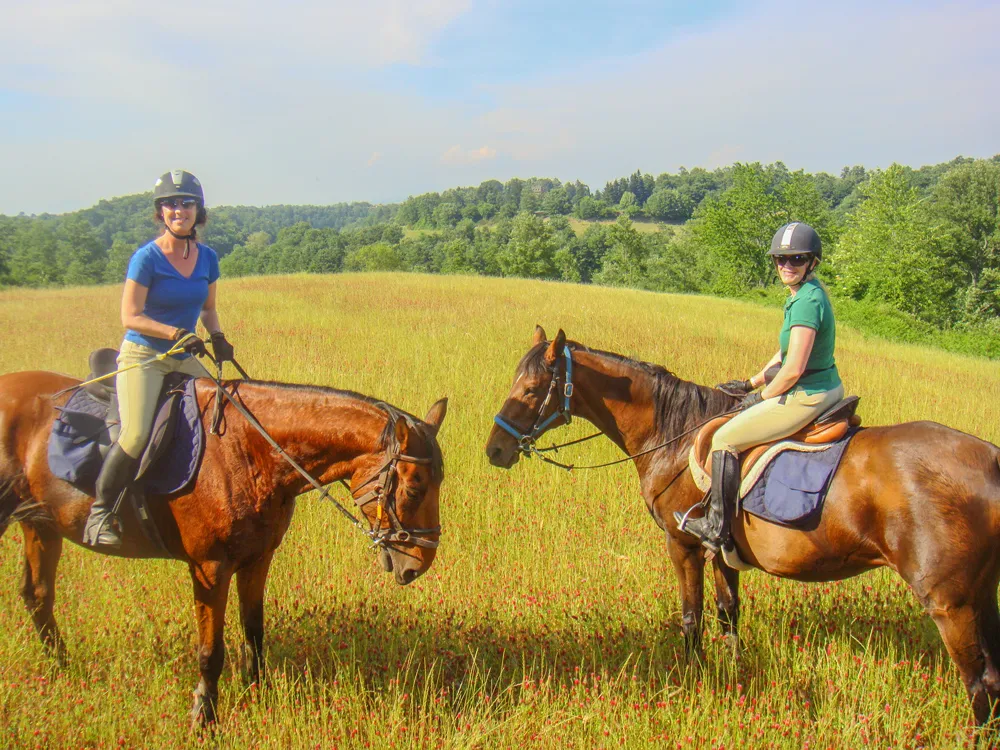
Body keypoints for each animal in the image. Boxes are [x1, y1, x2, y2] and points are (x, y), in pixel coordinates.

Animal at [0, 368, 447, 725]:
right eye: (414, 488)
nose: (418, 564)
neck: (250, 453)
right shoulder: (209, 567)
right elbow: (210, 651)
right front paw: (205, 717)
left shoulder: (257, 559)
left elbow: (254, 633)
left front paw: (257, 695)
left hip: (40, 524)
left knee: (38, 595)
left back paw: (62, 669)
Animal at [485, 326, 1000, 728]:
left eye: (530, 390)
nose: (494, 450)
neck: (674, 436)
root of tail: (991, 459)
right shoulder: (722, 549)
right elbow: (728, 613)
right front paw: (733, 677)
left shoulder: (683, 544)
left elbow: (691, 616)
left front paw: (693, 680)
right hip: (982, 594)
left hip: (950, 604)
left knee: (978, 682)